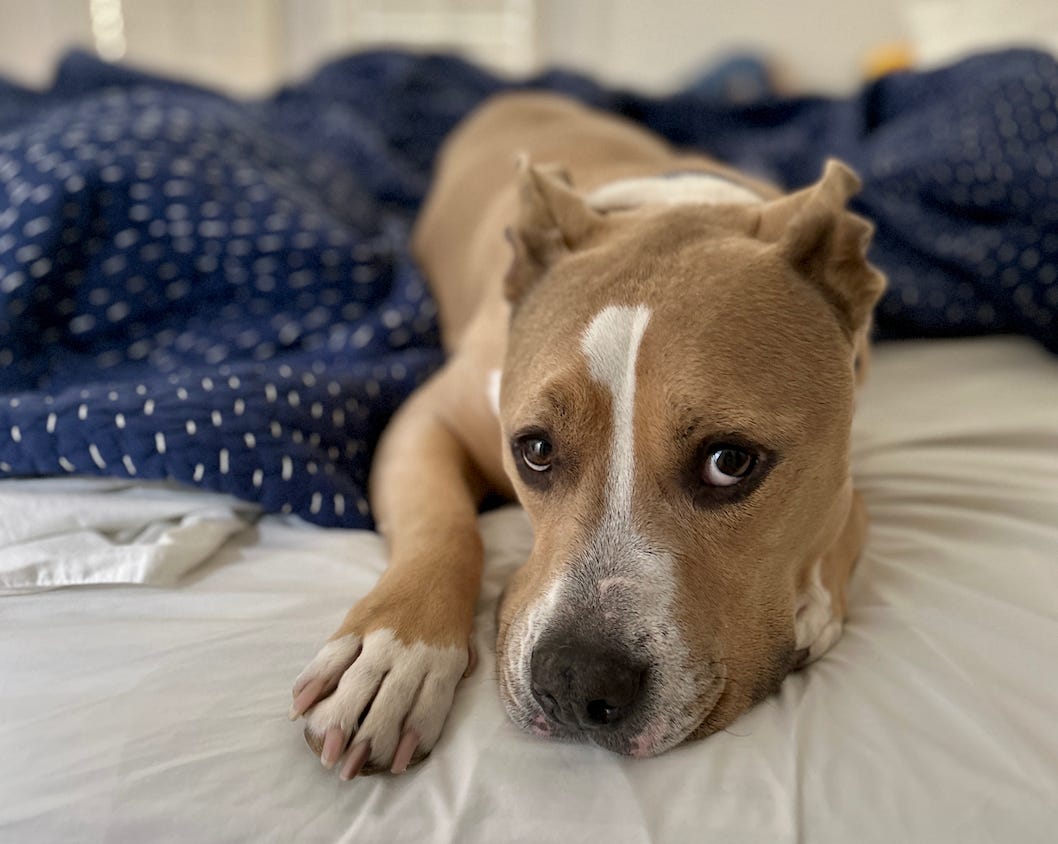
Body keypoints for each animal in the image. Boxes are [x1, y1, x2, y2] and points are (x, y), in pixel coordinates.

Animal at [285, 90, 880, 778]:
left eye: (730, 461)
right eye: (535, 450)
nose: (575, 680)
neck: (673, 210)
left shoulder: (849, 462)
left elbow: (846, 519)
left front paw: (809, 603)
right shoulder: (425, 421)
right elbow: (444, 527)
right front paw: (394, 655)